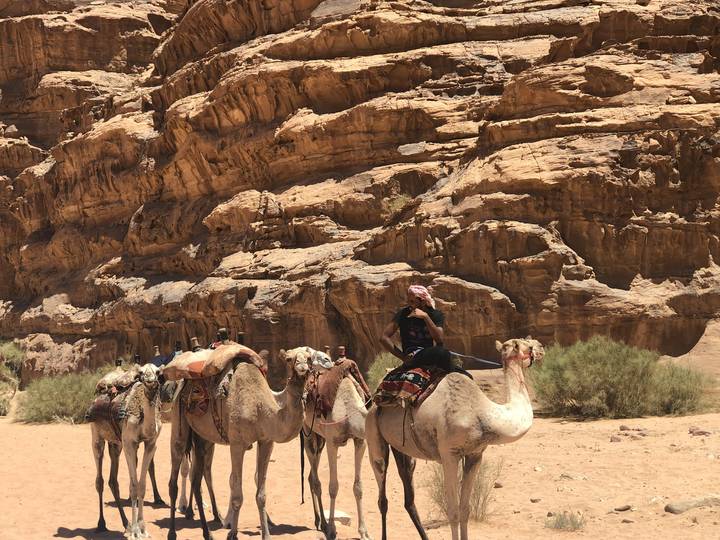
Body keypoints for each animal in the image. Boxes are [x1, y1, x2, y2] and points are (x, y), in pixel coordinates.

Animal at [91, 363, 163, 539]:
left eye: (158, 371)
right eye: (141, 372)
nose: (150, 381)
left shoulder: (151, 443)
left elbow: (142, 485)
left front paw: (142, 528)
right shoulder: (130, 444)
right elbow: (133, 486)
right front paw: (136, 531)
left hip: (116, 444)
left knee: (113, 481)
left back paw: (126, 524)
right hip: (97, 437)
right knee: (99, 481)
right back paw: (101, 524)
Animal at [167, 346, 311, 540]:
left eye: (310, 358)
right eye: (289, 359)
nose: (303, 368)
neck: (261, 406)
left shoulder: (266, 441)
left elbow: (261, 494)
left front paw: (266, 534)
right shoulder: (237, 443)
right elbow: (237, 494)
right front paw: (232, 533)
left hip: (203, 438)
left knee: (197, 480)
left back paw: (207, 532)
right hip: (179, 423)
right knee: (174, 479)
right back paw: (172, 532)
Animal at [303, 357, 372, 540]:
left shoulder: (360, 441)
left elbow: (358, 487)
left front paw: (364, 531)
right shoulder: (332, 442)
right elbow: (333, 487)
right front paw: (332, 529)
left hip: (320, 439)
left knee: (311, 476)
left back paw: (319, 521)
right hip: (308, 432)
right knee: (315, 480)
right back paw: (324, 524)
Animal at [365, 337, 544, 540]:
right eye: (528, 345)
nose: (541, 347)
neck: (482, 413)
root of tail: (374, 399)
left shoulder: (475, 454)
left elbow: (465, 509)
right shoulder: (449, 454)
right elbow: (453, 511)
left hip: (401, 448)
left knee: (408, 496)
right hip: (373, 434)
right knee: (382, 495)